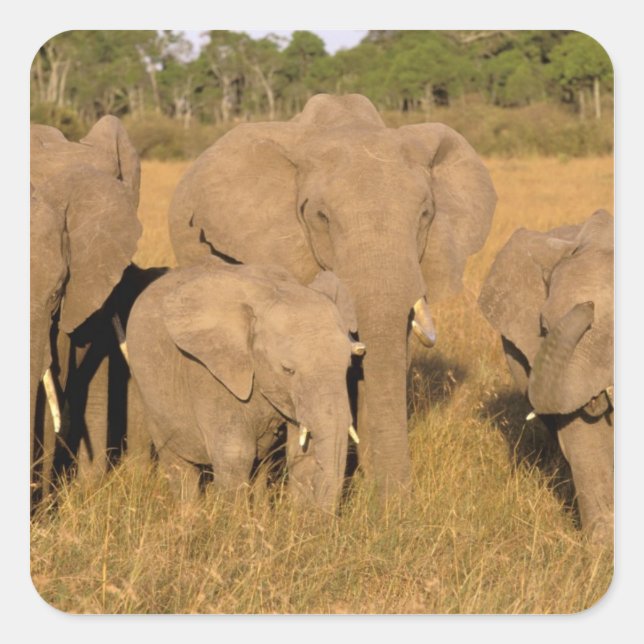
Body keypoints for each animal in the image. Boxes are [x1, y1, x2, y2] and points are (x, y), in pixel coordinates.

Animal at [126, 258, 365, 510]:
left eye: (347, 367)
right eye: (287, 370)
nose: (324, 516)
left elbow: (302, 452)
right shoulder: (209, 373)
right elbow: (235, 454)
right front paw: (233, 519)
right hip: (147, 390)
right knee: (178, 464)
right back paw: (189, 515)